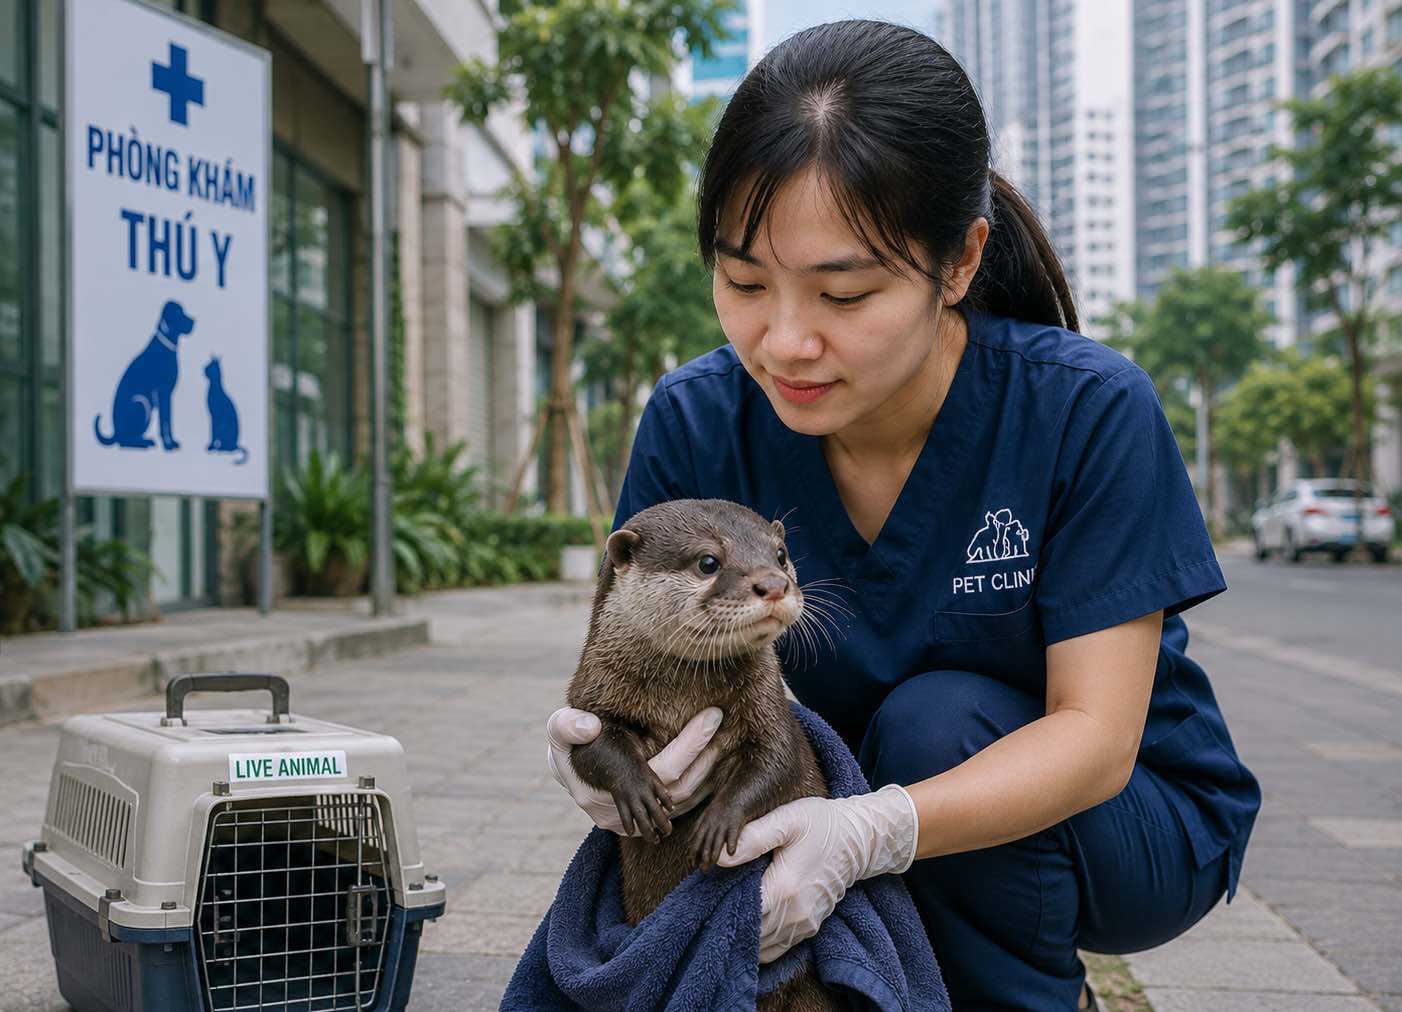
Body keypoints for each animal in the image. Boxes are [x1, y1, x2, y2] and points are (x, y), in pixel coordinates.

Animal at [566, 498, 845, 1012]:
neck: (680, 696)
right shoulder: (587, 701)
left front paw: (716, 824)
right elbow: (591, 748)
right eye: (708, 562)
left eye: (780, 554)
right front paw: (640, 794)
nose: (774, 584)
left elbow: (775, 760)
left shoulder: (768, 710)